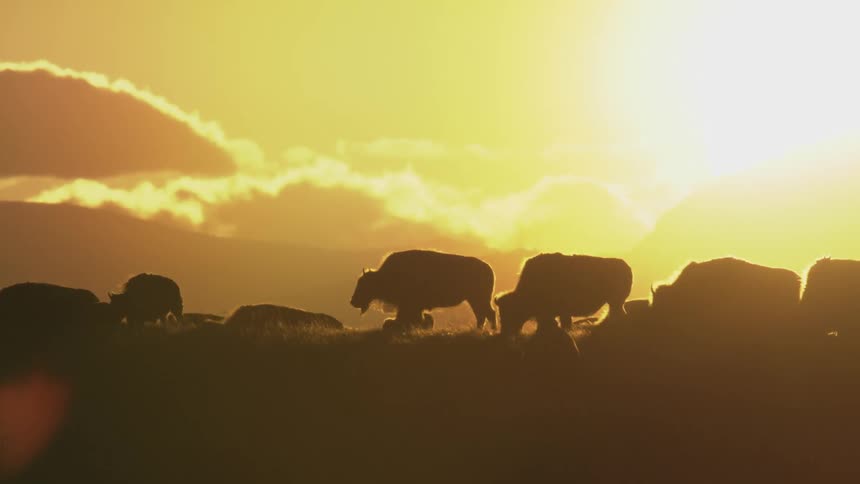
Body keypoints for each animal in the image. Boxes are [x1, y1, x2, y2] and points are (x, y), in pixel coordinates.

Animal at [350, 250, 496, 331]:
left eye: (363, 284)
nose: (353, 301)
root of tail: (489, 268)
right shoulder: (410, 306)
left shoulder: (410, 305)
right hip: (475, 300)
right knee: (483, 314)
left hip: (478, 299)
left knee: (487, 313)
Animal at [495, 253, 633, 336]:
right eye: (501, 313)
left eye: (510, 312)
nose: (505, 333)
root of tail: (626, 266)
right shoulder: (557, 314)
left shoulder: (557, 313)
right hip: (615, 303)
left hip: (616, 302)